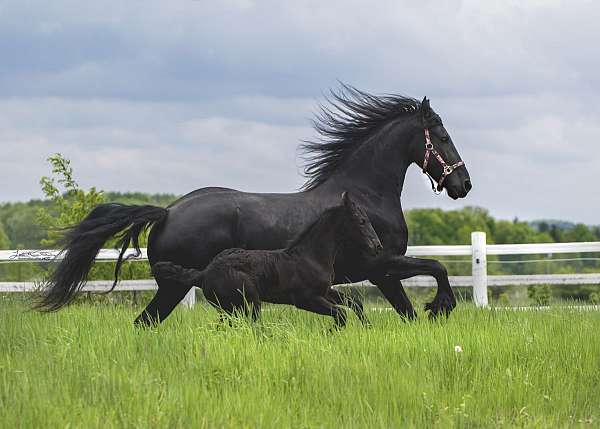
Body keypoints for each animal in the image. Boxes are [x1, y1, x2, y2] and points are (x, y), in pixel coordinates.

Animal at [152, 191, 382, 328]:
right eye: (362, 221)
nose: (377, 246)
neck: (311, 257)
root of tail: (204, 274)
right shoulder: (306, 299)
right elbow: (341, 314)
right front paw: (331, 334)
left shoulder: (325, 292)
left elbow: (354, 303)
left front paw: (367, 328)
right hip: (246, 304)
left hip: (230, 309)